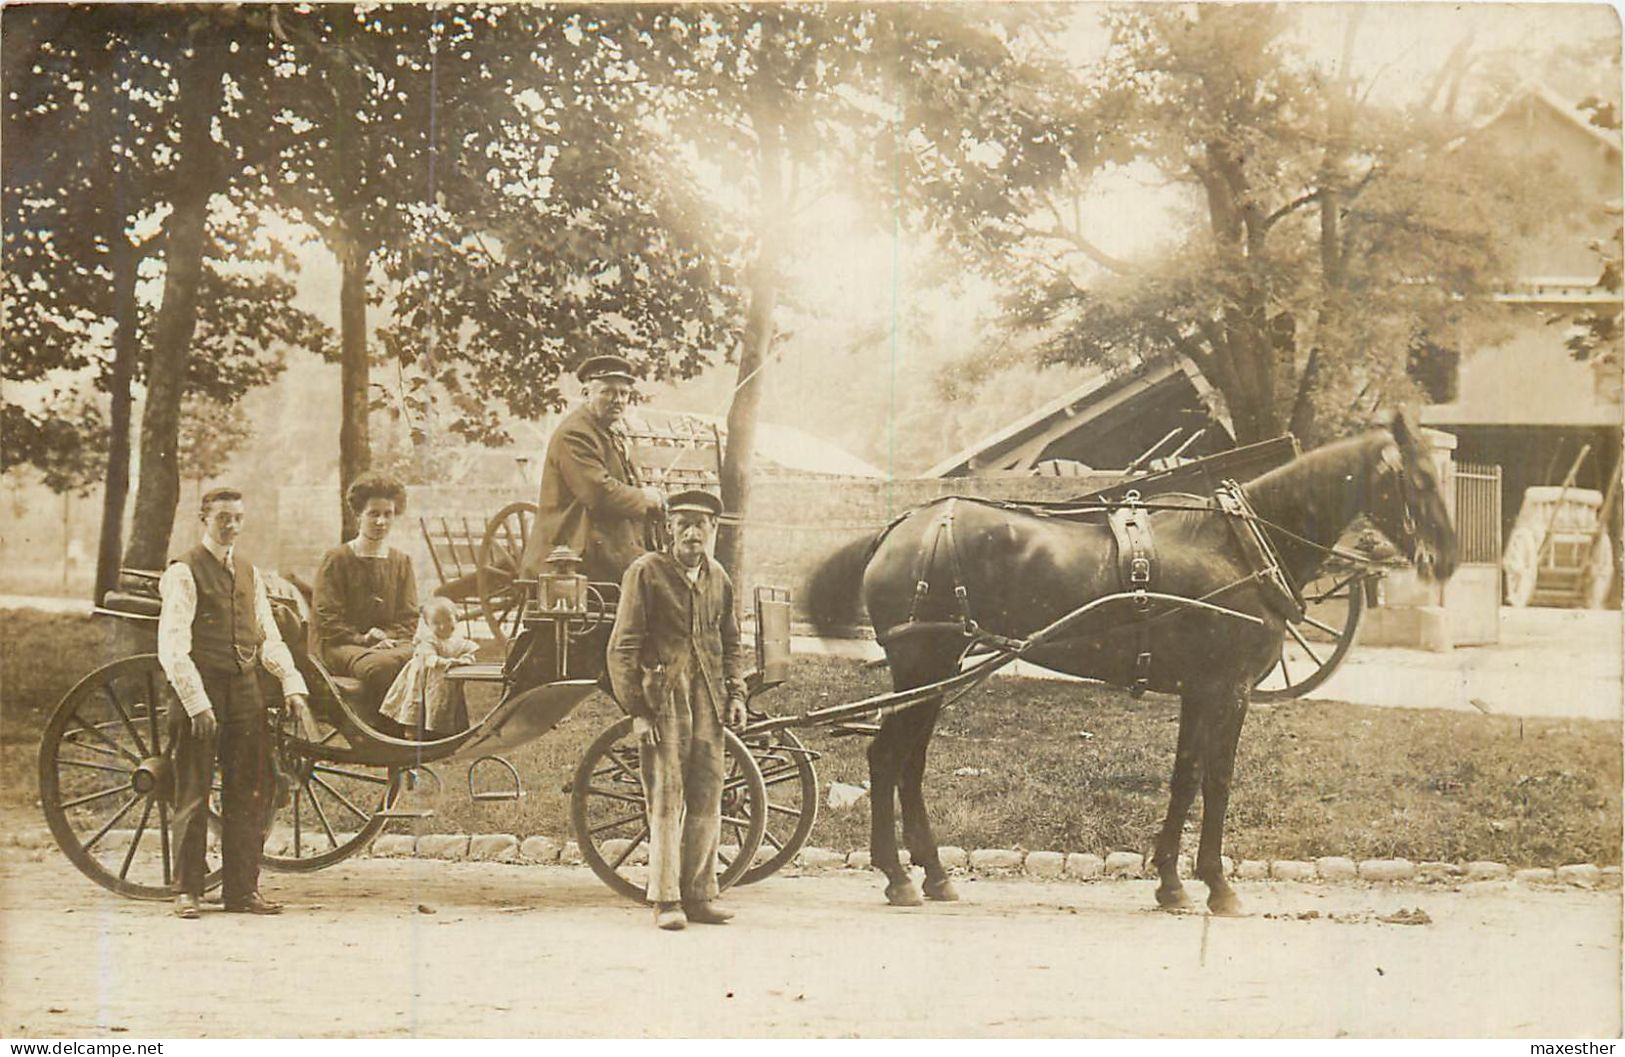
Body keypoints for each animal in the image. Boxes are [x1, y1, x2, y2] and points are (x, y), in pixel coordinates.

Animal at [806, 411, 1456, 910]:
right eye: (1419, 479)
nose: (1446, 559)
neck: (1238, 546)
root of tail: (901, 528)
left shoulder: (1199, 690)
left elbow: (1185, 778)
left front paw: (1171, 882)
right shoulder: (1230, 689)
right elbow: (1217, 780)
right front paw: (1218, 885)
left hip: (934, 672)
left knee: (908, 763)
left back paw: (933, 874)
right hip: (924, 663)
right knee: (887, 758)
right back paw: (899, 876)